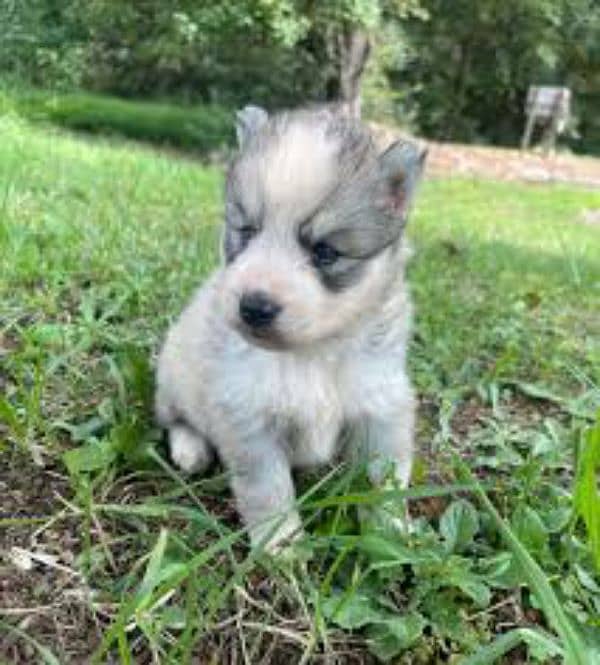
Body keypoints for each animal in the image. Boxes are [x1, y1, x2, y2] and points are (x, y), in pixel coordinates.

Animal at [155, 105, 426, 548]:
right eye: (247, 231)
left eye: (325, 252)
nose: (254, 306)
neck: (310, 353)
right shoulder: (249, 418)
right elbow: (269, 490)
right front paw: (282, 546)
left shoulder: (381, 404)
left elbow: (383, 480)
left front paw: (390, 534)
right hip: (173, 376)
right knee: (174, 419)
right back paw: (190, 448)